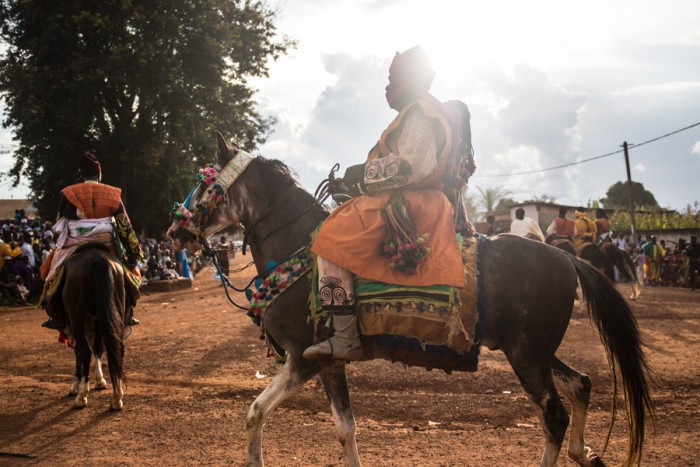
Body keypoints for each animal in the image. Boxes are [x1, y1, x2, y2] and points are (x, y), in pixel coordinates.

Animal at [52, 247, 129, 412]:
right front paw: (100, 380)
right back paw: (117, 397)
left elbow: (79, 351)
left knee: (85, 350)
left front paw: (76, 385)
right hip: (116, 309)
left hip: (76, 316)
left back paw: (81, 396)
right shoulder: (97, 319)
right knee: (116, 348)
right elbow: (98, 348)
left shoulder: (74, 323)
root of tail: (100, 261)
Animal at [167, 132, 652, 467]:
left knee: (554, 416)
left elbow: (255, 412)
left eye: (203, 183)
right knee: (581, 385)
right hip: (533, 350)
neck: (298, 248)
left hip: (527, 355)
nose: (174, 231)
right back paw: (584, 453)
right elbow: (345, 429)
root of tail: (566, 258)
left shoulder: (303, 357)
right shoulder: (329, 362)